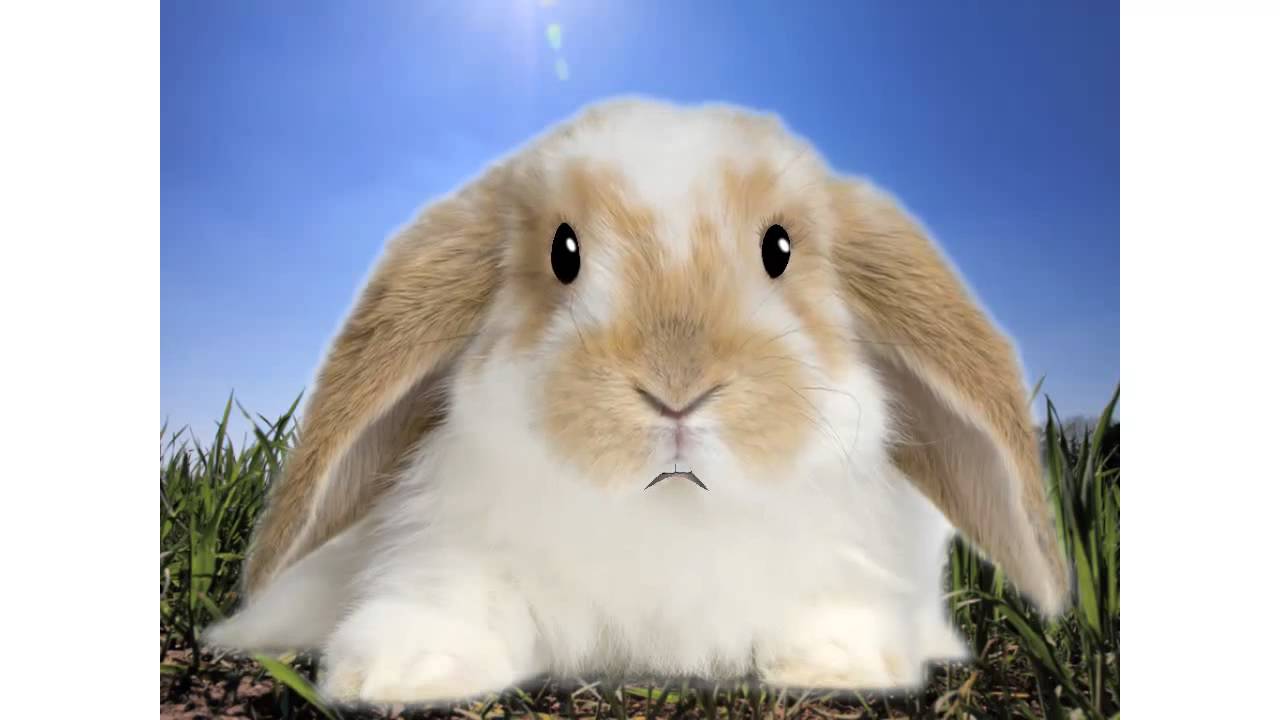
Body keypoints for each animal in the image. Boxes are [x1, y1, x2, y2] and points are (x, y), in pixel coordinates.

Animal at [204, 97, 1069, 705]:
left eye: (780, 248)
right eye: (564, 252)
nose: (676, 389)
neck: (668, 514)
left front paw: (838, 661)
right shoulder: (446, 545)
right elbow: (451, 595)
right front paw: (404, 669)